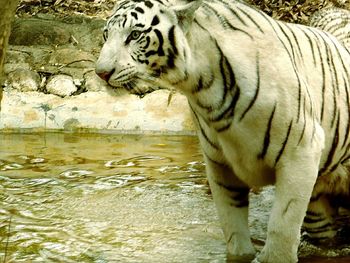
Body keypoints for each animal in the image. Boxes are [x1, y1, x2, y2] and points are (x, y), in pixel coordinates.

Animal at [95, 1, 350, 262]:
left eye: (135, 35)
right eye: (106, 34)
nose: (101, 73)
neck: (203, 89)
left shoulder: (300, 153)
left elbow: (281, 231)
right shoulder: (221, 165)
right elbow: (233, 232)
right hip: (318, 214)